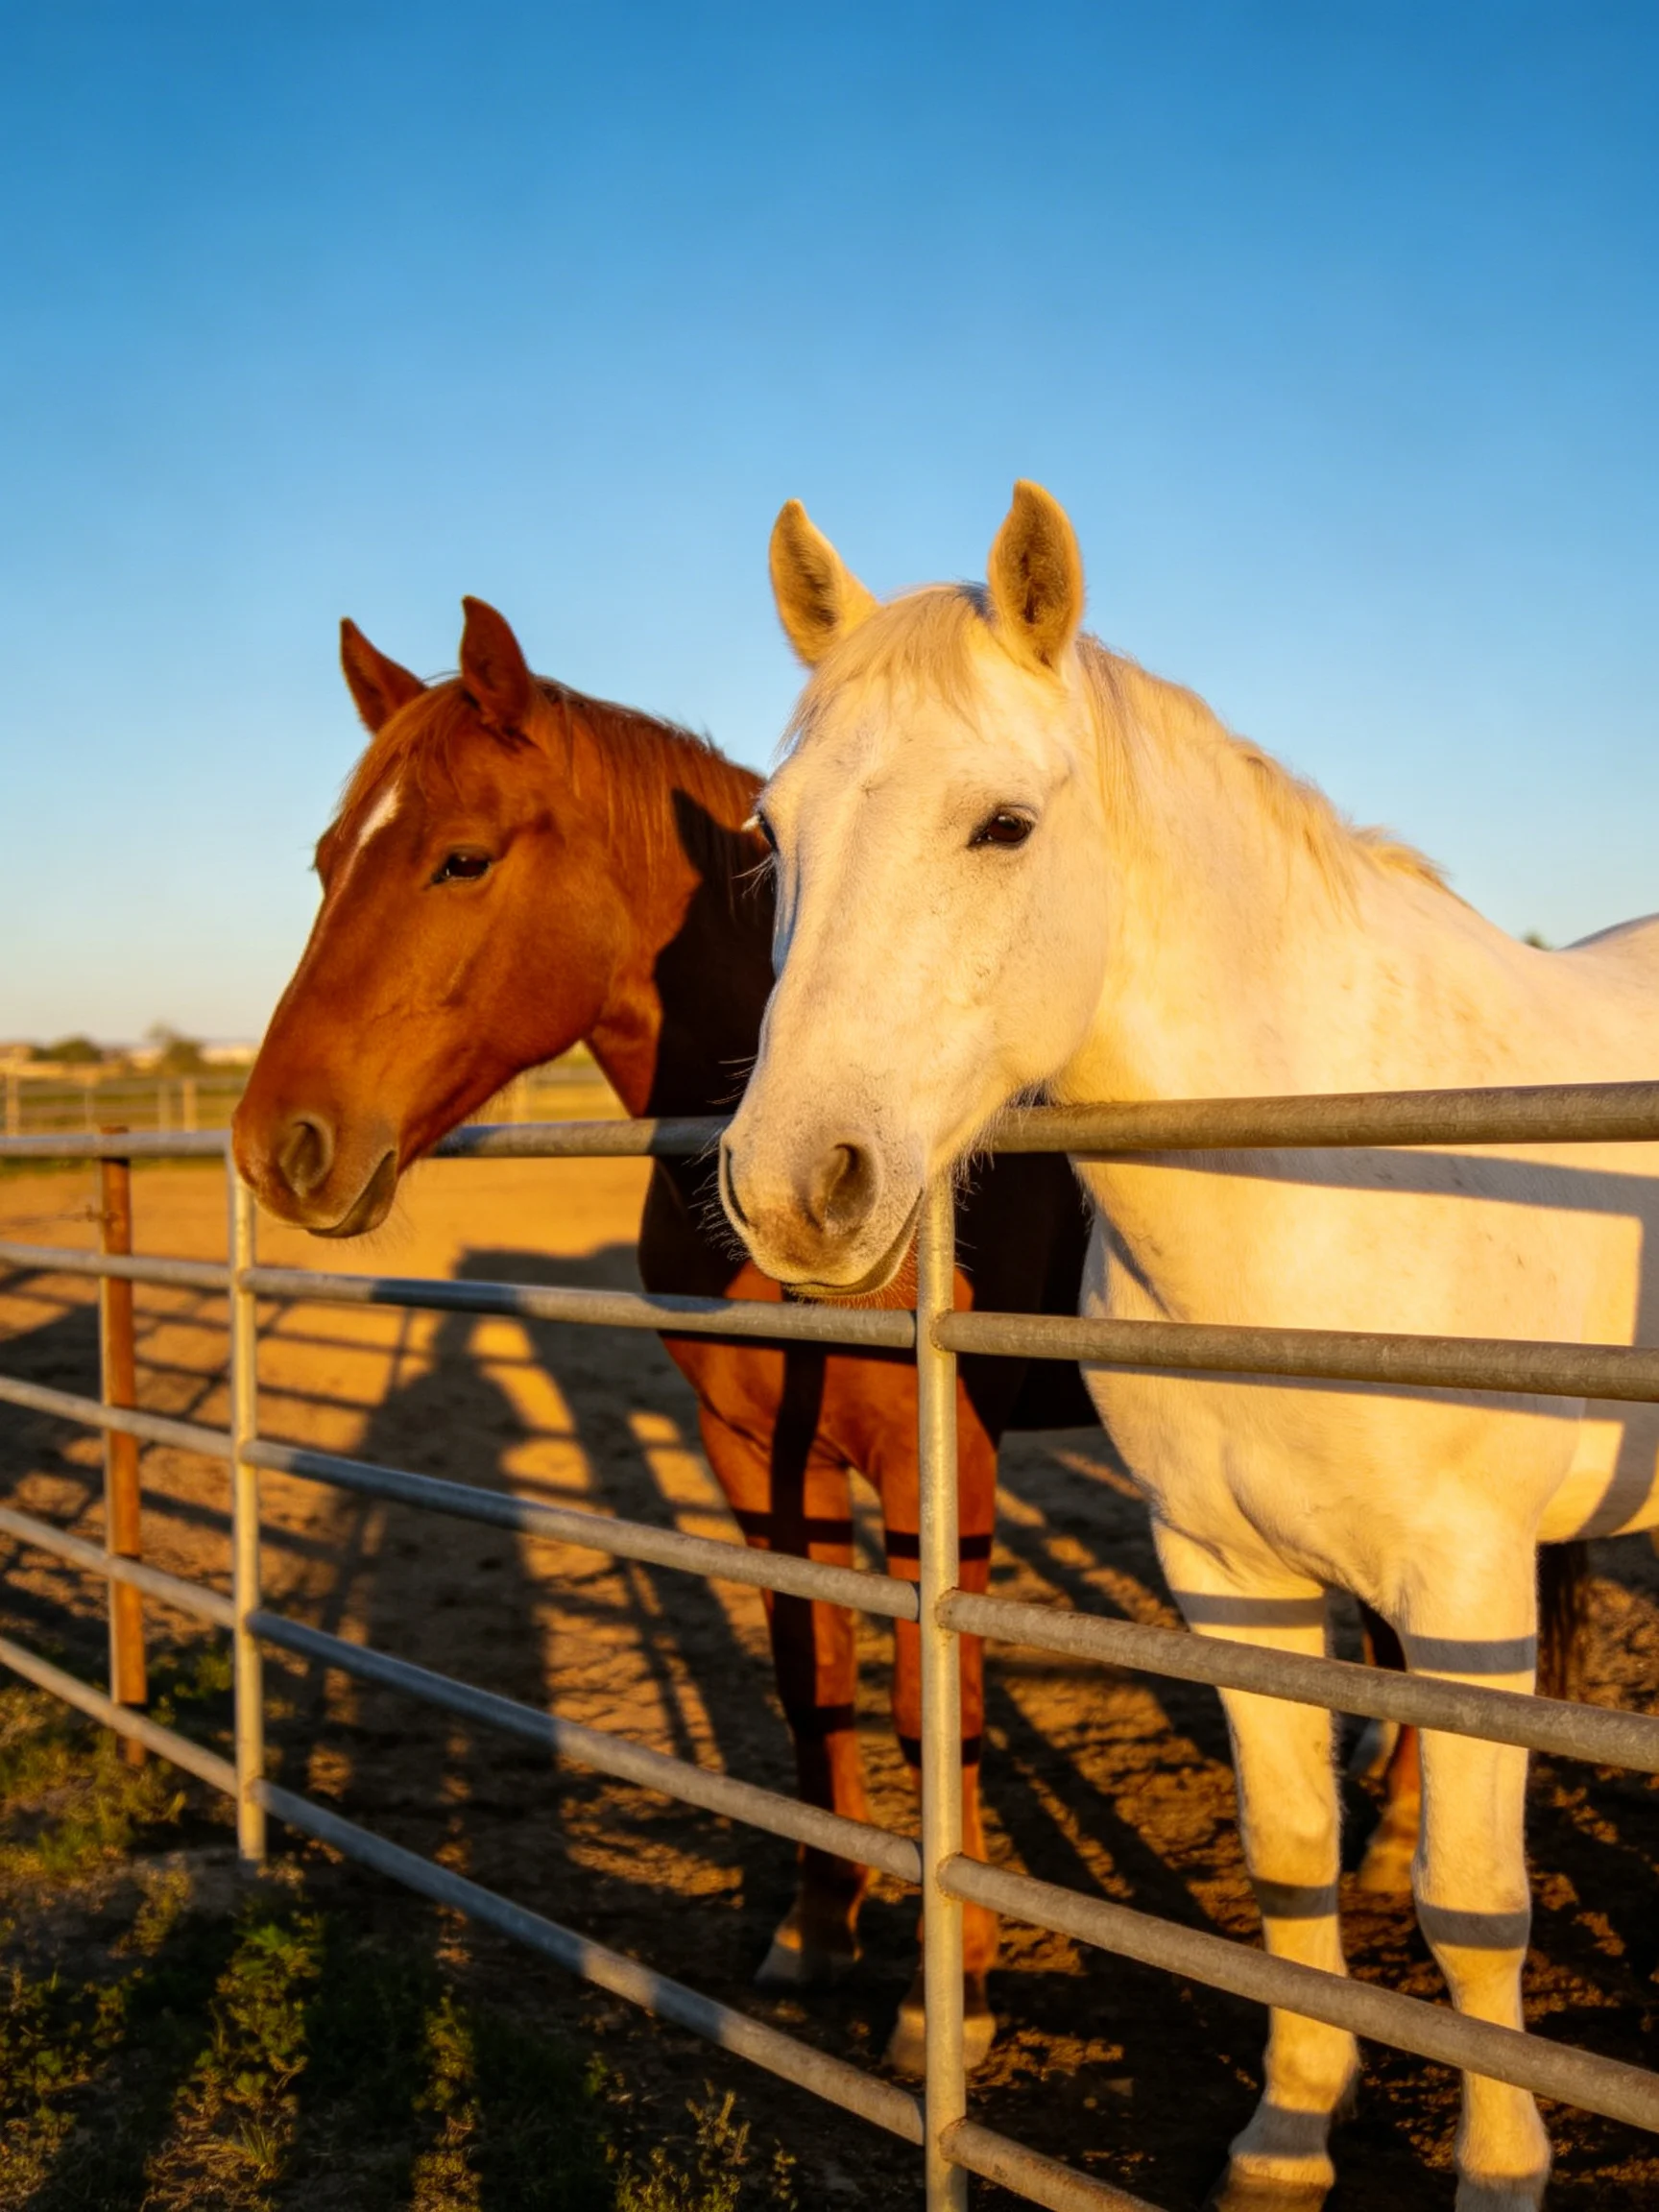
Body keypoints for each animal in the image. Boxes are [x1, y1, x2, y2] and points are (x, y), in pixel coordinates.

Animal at [718, 484, 1659, 2211]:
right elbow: (1287, 1858)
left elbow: (1473, 1904)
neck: (1326, 1185)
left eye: (1003, 826)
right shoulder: (1224, 1571)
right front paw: (1287, 2133)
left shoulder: (1469, 1590)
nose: (790, 1186)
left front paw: (1500, 2167)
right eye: (772, 829)